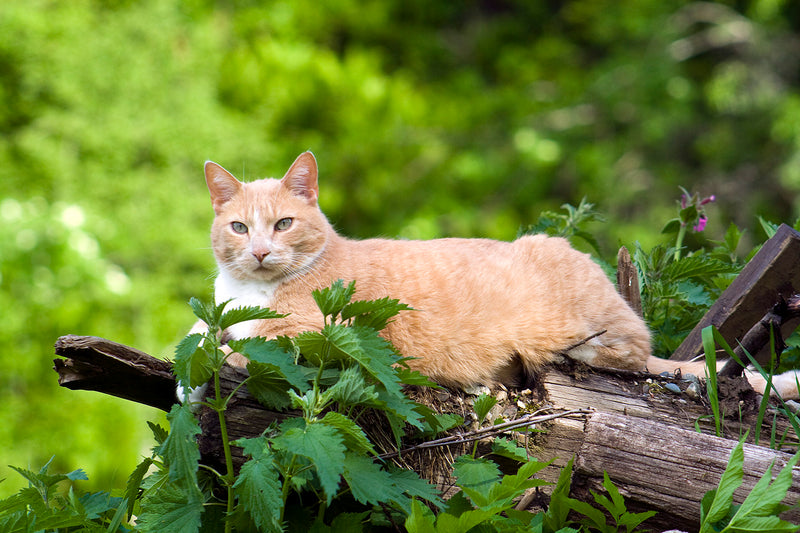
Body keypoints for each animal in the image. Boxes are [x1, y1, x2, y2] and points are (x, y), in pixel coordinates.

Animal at [197, 152, 800, 396]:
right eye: (239, 228)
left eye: (283, 224)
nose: (259, 253)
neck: (250, 288)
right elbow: (203, 332)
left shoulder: (322, 333)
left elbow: (248, 345)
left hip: (578, 333)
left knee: (627, 353)